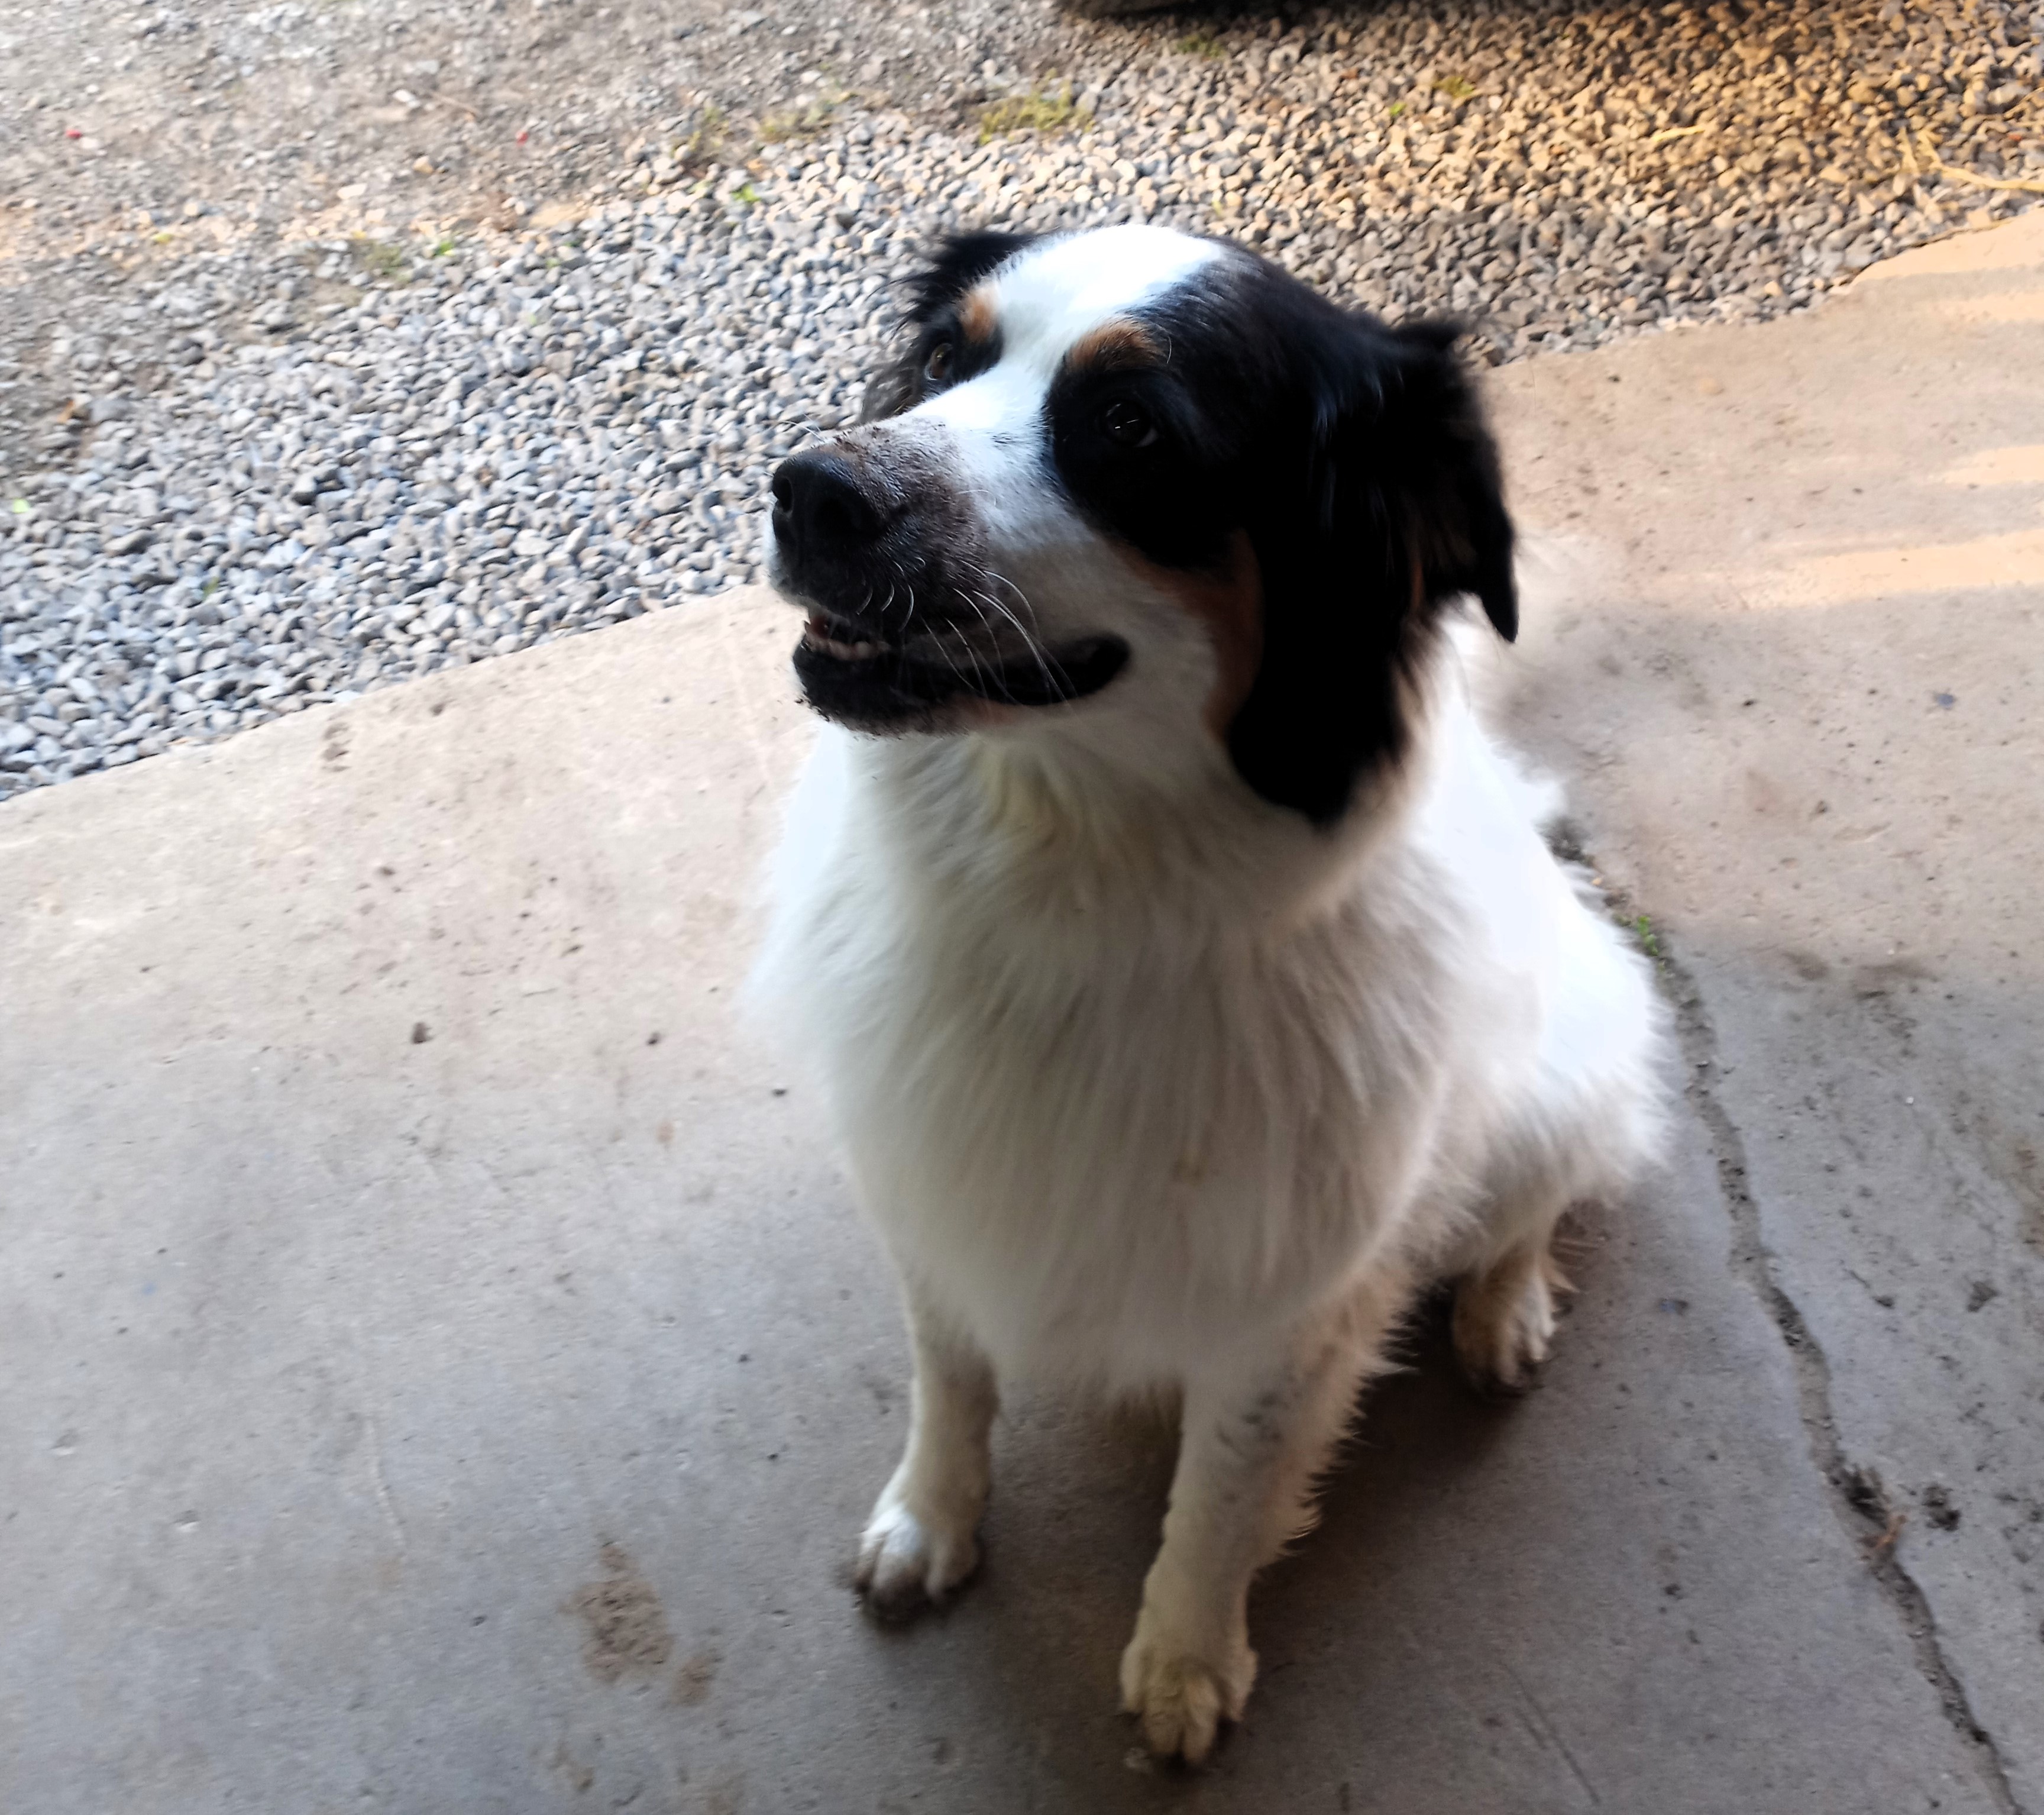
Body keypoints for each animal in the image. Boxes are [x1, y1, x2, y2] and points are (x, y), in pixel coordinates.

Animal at [749, 224, 1666, 1762]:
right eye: (943, 360)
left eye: (1133, 430)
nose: (811, 490)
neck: (1069, 896)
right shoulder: (931, 1179)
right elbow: (952, 1375)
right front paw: (930, 1520)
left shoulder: (1287, 1300)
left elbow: (1220, 1495)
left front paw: (1183, 1660)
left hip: (1558, 1071)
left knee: (1539, 1195)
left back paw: (1503, 1309)